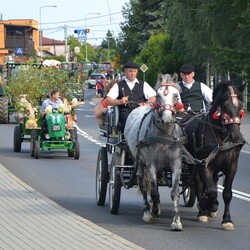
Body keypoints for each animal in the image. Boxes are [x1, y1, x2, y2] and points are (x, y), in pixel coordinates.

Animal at [124, 73, 186, 231]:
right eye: (158, 96)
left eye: (176, 95)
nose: (167, 119)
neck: (164, 135)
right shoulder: (150, 164)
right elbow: (153, 191)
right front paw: (153, 210)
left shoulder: (176, 163)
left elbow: (174, 192)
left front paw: (176, 221)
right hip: (139, 161)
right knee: (142, 183)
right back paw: (147, 211)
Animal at [184, 80, 246, 230]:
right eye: (224, 105)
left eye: (240, 106)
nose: (235, 136)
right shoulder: (204, 165)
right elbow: (211, 191)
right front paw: (209, 206)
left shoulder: (232, 167)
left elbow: (227, 193)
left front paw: (227, 220)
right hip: (193, 165)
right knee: (199, 185)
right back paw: (203, 211)